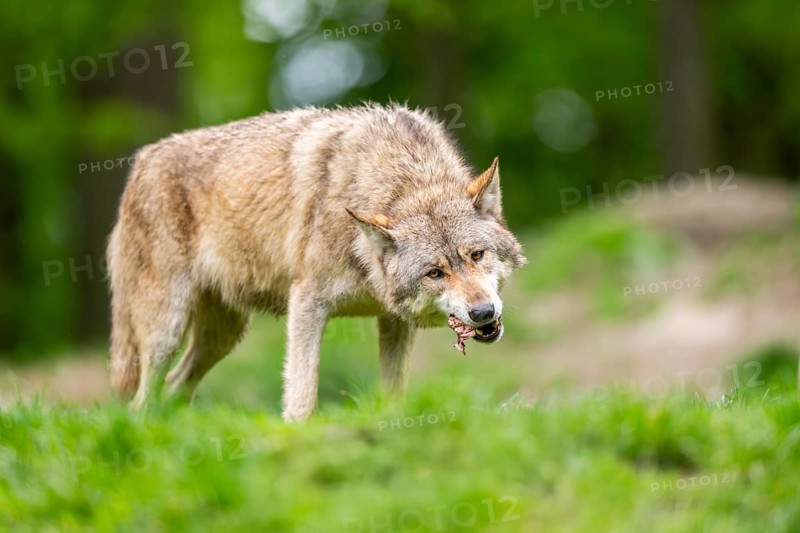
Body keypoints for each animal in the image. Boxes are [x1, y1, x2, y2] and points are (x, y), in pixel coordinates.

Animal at [107, 103, 525, 421]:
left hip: (221, 337)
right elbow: (302, 396)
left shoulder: (393, 321)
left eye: (476, 255)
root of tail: (141, 161)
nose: (483, 312)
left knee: (172, 389)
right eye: (435, 273)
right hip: (167, 331)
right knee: (142, 399)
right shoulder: (307, 304)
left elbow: (394, 392)